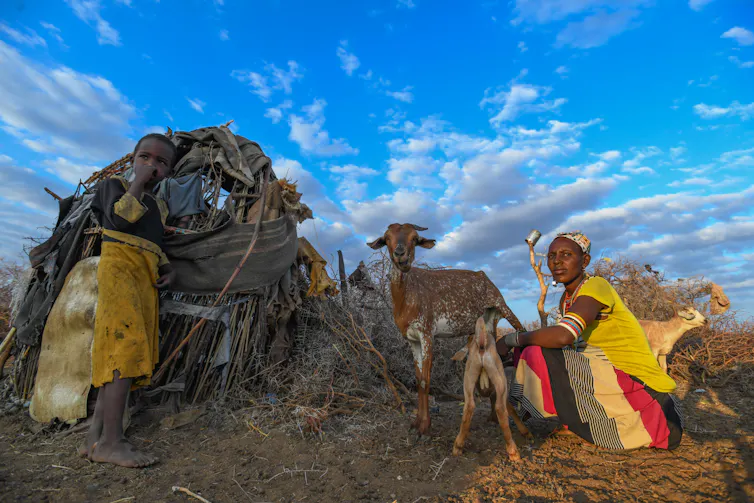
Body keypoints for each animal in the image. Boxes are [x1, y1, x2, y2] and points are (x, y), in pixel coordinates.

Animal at [368, 223, 524, 435]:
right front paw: (416, 422)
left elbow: (426, 380)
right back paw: (493, 417)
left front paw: (425, 425)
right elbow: (418, 379)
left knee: (520, 330)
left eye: (415, 238)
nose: (401, 256)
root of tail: (485, 277)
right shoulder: (412, 339)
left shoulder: (427, 333)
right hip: (489, 323)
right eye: (386, 238)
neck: (407, 297)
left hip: (502, 305)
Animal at [451, 315, 529, 460]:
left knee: (469, 407)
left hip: (469, 379)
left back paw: (458, 447)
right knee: (501, 409)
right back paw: (513, 451)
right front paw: (525, 432)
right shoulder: (496, 391)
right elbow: (510, 409)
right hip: (500, 382)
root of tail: (481, 344)